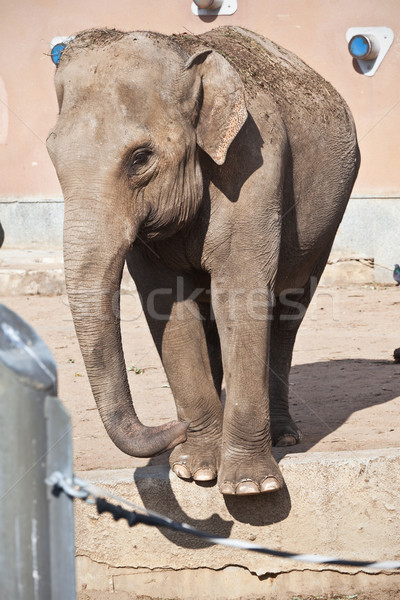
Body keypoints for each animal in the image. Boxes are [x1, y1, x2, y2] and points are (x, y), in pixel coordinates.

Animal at [47, 27, 360, 496]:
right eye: (52, 154)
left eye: (141, 158)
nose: (173, 427)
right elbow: (168, 307)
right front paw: (194, 470)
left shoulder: (254, 170)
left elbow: (242, 296)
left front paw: (250, 487)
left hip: (329, 219)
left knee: (287, 315)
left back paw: (284, 437)